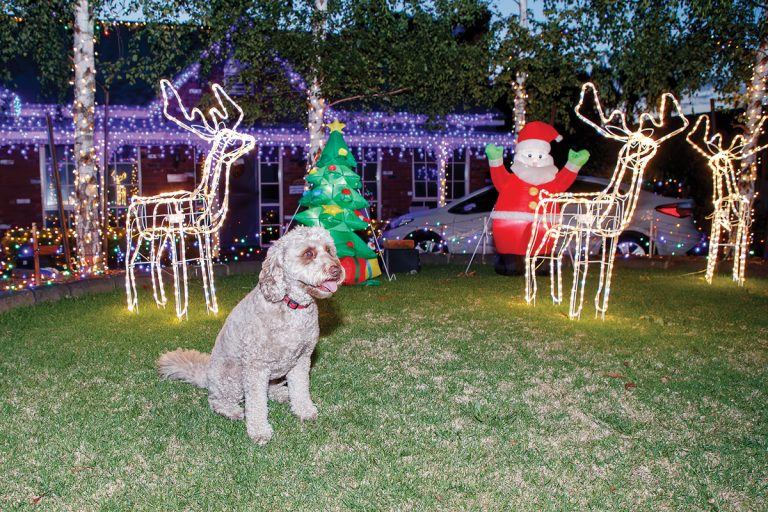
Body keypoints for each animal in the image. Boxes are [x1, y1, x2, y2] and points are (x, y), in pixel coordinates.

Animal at [125, 79, 256, 319]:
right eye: (229, 136)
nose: (250, 140)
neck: (203, 196)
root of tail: (132, 200)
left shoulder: (201, 232)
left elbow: (206, 265)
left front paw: (212, 309)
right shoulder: (179, 230)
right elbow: (181, 264)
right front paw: (181, 312)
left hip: (157, 235)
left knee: (153, 260)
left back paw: (160, 303)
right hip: (135, 233)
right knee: (130, 262)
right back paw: (134, 307)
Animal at [157, 226, 344, 444]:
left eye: (329, 250)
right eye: (308, 253)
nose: (337, 270)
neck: (290, 305)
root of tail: (207, 376)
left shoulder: (301, 359)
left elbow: (300, 389)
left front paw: (304, 410)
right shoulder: (256, 366)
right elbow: (256, 403)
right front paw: (259, 430)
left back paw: (282, 394)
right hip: (232, 378)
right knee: (215, 400)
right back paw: (231, 411)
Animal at [525, 82, 688, 319]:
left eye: (648, 140)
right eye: (635, 142)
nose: (653, 147)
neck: (615, 198)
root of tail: (543, 195)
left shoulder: (611, 235)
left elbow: (606, 267)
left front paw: (599, 313)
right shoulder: (586, 232)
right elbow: (583, 265)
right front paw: (575, 313)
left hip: (562, 233)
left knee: (554, 256)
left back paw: (555, 300)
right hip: (545, 229)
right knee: (532, 254)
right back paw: (532, 299)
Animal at [686, 114, 768, 286]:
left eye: (720, 161)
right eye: (713, 160)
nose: (711, 164)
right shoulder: (716, 225)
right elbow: (713, 249)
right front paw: (708, 278)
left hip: (742, 227)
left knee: (740, 250)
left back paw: (739, 279)